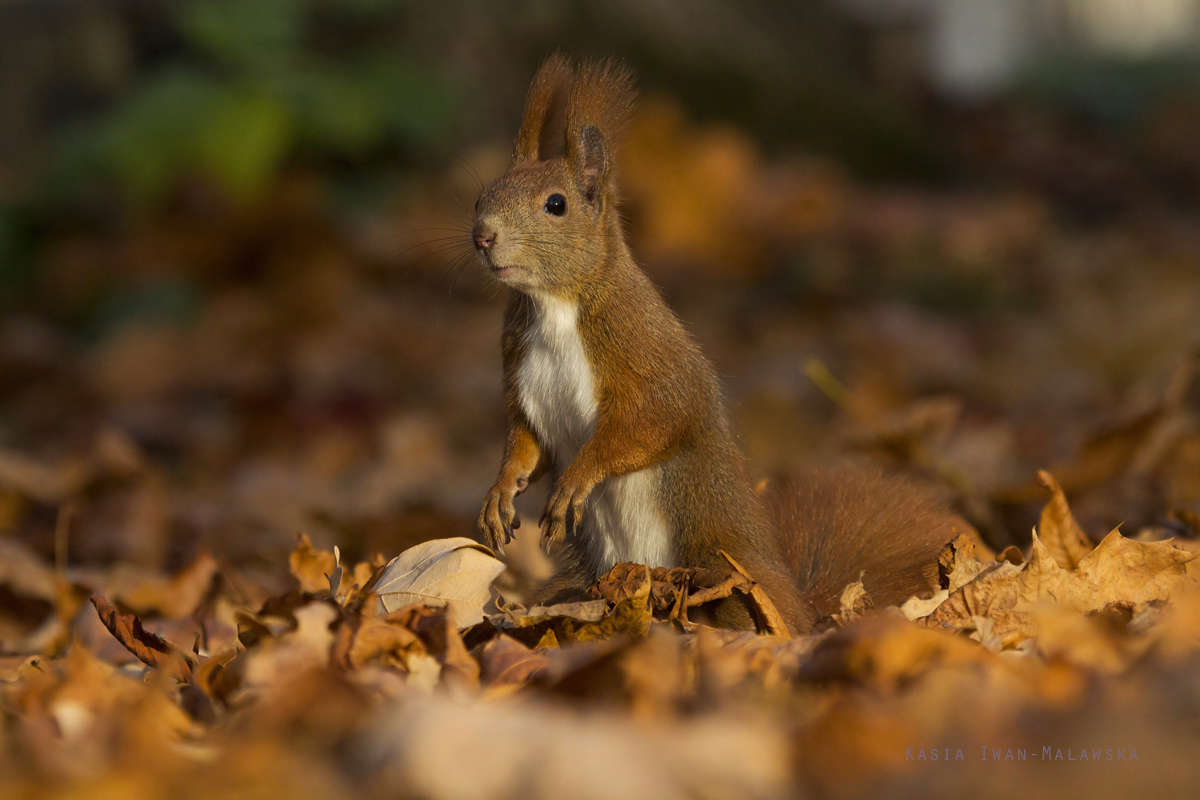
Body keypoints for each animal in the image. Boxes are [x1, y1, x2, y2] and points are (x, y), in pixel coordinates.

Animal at [468, 53, 955, 633]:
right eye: (483, 193)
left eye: (556, 204)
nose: (482, 236)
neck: (554, 307)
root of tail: (803, 607)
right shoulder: (523, 378)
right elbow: (527, 444)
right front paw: (500, 492)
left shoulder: (644, 353)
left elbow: (654, 421)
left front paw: (577, 478)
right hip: (587, 584)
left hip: (718, 567)